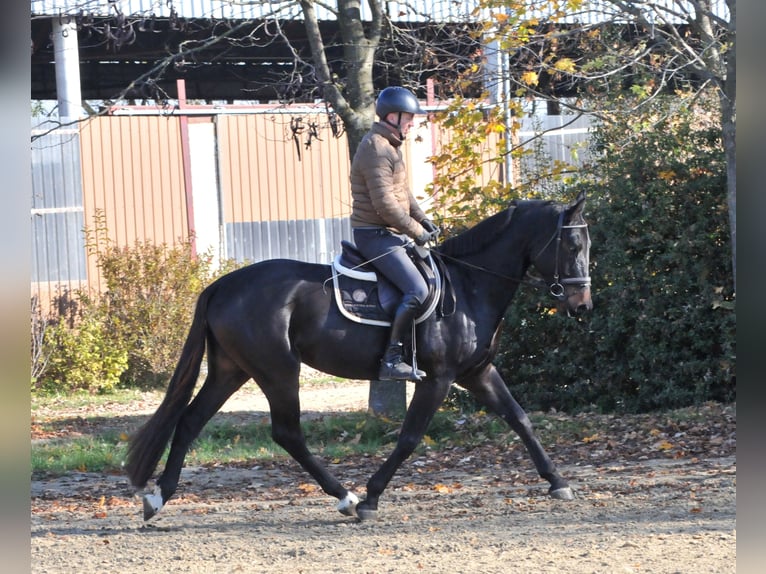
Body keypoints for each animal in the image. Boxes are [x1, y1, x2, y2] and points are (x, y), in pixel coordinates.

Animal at [126, 192, 592, 520]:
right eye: (571, 244)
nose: (582, 305)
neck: (469, 286)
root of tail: (223, 284)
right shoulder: (438, 379)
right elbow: (409, 438)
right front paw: (371, 496)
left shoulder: (478, 373)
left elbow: (520, 419)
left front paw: (558, 482)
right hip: (278, 370)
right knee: (287, 433)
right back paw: (346, 498)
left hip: (232, 370)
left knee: (190, 421)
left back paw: (158, 498)